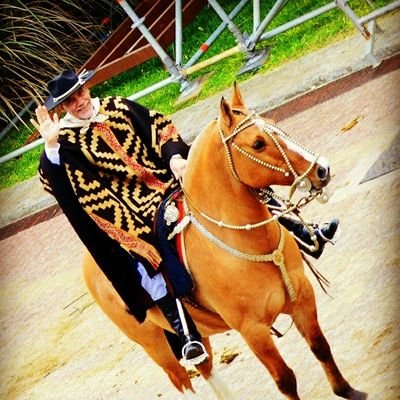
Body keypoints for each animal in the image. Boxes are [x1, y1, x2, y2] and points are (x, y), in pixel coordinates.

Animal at [83, 84, 368, 400]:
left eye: (272, 124)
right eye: (257, 144)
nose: (322, 170)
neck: (249, 244)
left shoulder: (302, 297)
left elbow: (320, 346)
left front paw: (347, 390)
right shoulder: (251, 329)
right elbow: (285, 379)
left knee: (206, 367)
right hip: (155, 344)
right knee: (181, 379)